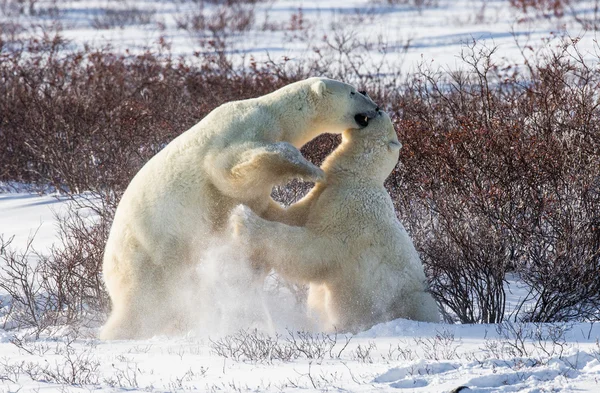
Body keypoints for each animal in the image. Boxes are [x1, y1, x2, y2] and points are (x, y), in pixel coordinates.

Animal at [100, 77, 378, 340]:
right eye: (353, 91)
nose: (375, 107)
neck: (274, 114)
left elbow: (261, 207)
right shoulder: (238, 132)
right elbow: (228, 167)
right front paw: (313, 171)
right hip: (148, 248)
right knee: (146, 298)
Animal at [230, 111, 440, 334]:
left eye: (384, 117)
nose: (378, 109)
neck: (356, 178)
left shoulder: (350, 213)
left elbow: (313, 251)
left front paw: (243, 218)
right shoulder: (321, 196)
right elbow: (293, 216)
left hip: (405, 300)